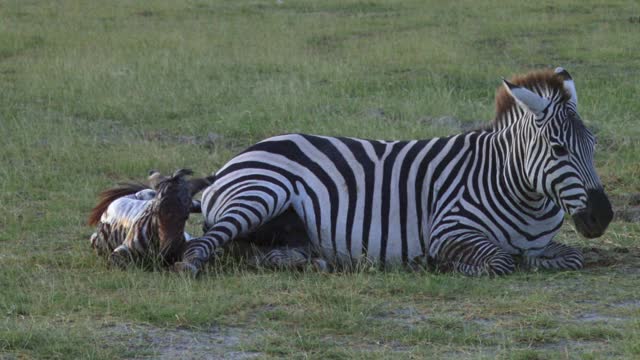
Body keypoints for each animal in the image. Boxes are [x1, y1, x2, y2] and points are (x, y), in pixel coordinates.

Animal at [172, 67, 612, 276]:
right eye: (558, 149)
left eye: (593, 146)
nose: (602, 217)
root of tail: (238, 158)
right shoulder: (448, 230)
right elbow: (503, 260)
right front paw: (444, 264)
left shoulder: (544, 244)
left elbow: (568, 256)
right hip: (260, 193)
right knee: (206, 246)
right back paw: (189, 266)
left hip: (284, 229)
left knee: (249, 252)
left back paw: (310, 263)